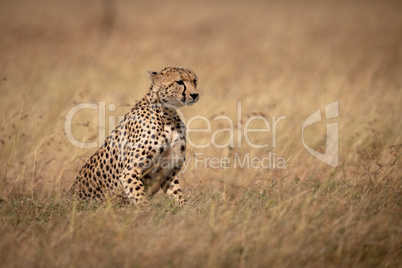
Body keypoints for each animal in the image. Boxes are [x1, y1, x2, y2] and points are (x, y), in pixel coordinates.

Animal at [70, 66, 199, 206]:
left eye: (194, 81)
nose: (195, 95)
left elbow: (179, 197)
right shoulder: (130, 171)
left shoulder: (169, 173)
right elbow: (140, 197)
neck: (168, 115)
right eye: (179, 82)